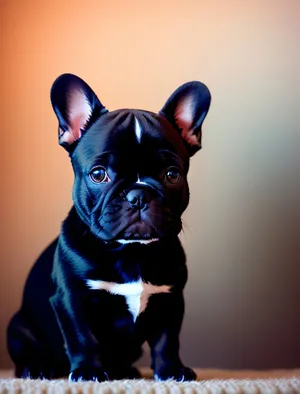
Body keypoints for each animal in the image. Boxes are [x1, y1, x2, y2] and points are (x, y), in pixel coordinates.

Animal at [6, 74, 211, 382]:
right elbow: (82, 337)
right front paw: (88, 371)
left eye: (172, 174)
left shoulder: (171, 299)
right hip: (18, 329)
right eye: (98, 174)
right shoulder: (71, 298)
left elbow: (167, 340)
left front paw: (172, 371)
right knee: (26, 356)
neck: (131, 252)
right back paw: (39, 369)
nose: (138, 195)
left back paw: (126, 371)